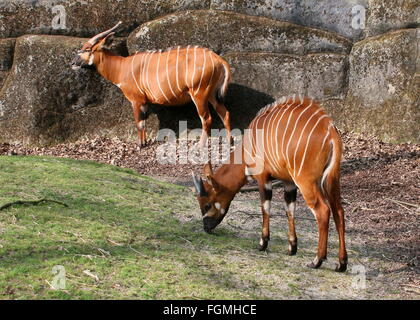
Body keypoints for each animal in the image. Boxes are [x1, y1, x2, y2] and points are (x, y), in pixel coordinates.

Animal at [70, 21, 231, 147]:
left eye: (87, 49)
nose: (72, 63)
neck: (122, 67)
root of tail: (219, 60)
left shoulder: (136, 100)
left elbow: (139, 122)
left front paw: (140, 145)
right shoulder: (145, 102)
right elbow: (144, 122)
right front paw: (145, 142)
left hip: (199, 94)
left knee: (207, 118)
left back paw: (201, 145)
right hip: (211, 94)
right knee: (225, 113)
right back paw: (230, 142)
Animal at [194, 95, 348, 272]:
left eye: (207, 204)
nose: (206, 227)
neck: (246, 147)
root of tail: (331, 132)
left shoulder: (263, 178)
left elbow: (265, 207)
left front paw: (262, 243)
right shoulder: (288, 183)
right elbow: (289, 209)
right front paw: (292, 248)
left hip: (306, 181)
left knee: (323, 210)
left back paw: (317, 260)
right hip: (331, 180)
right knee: (339, 211)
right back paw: (341, 263)